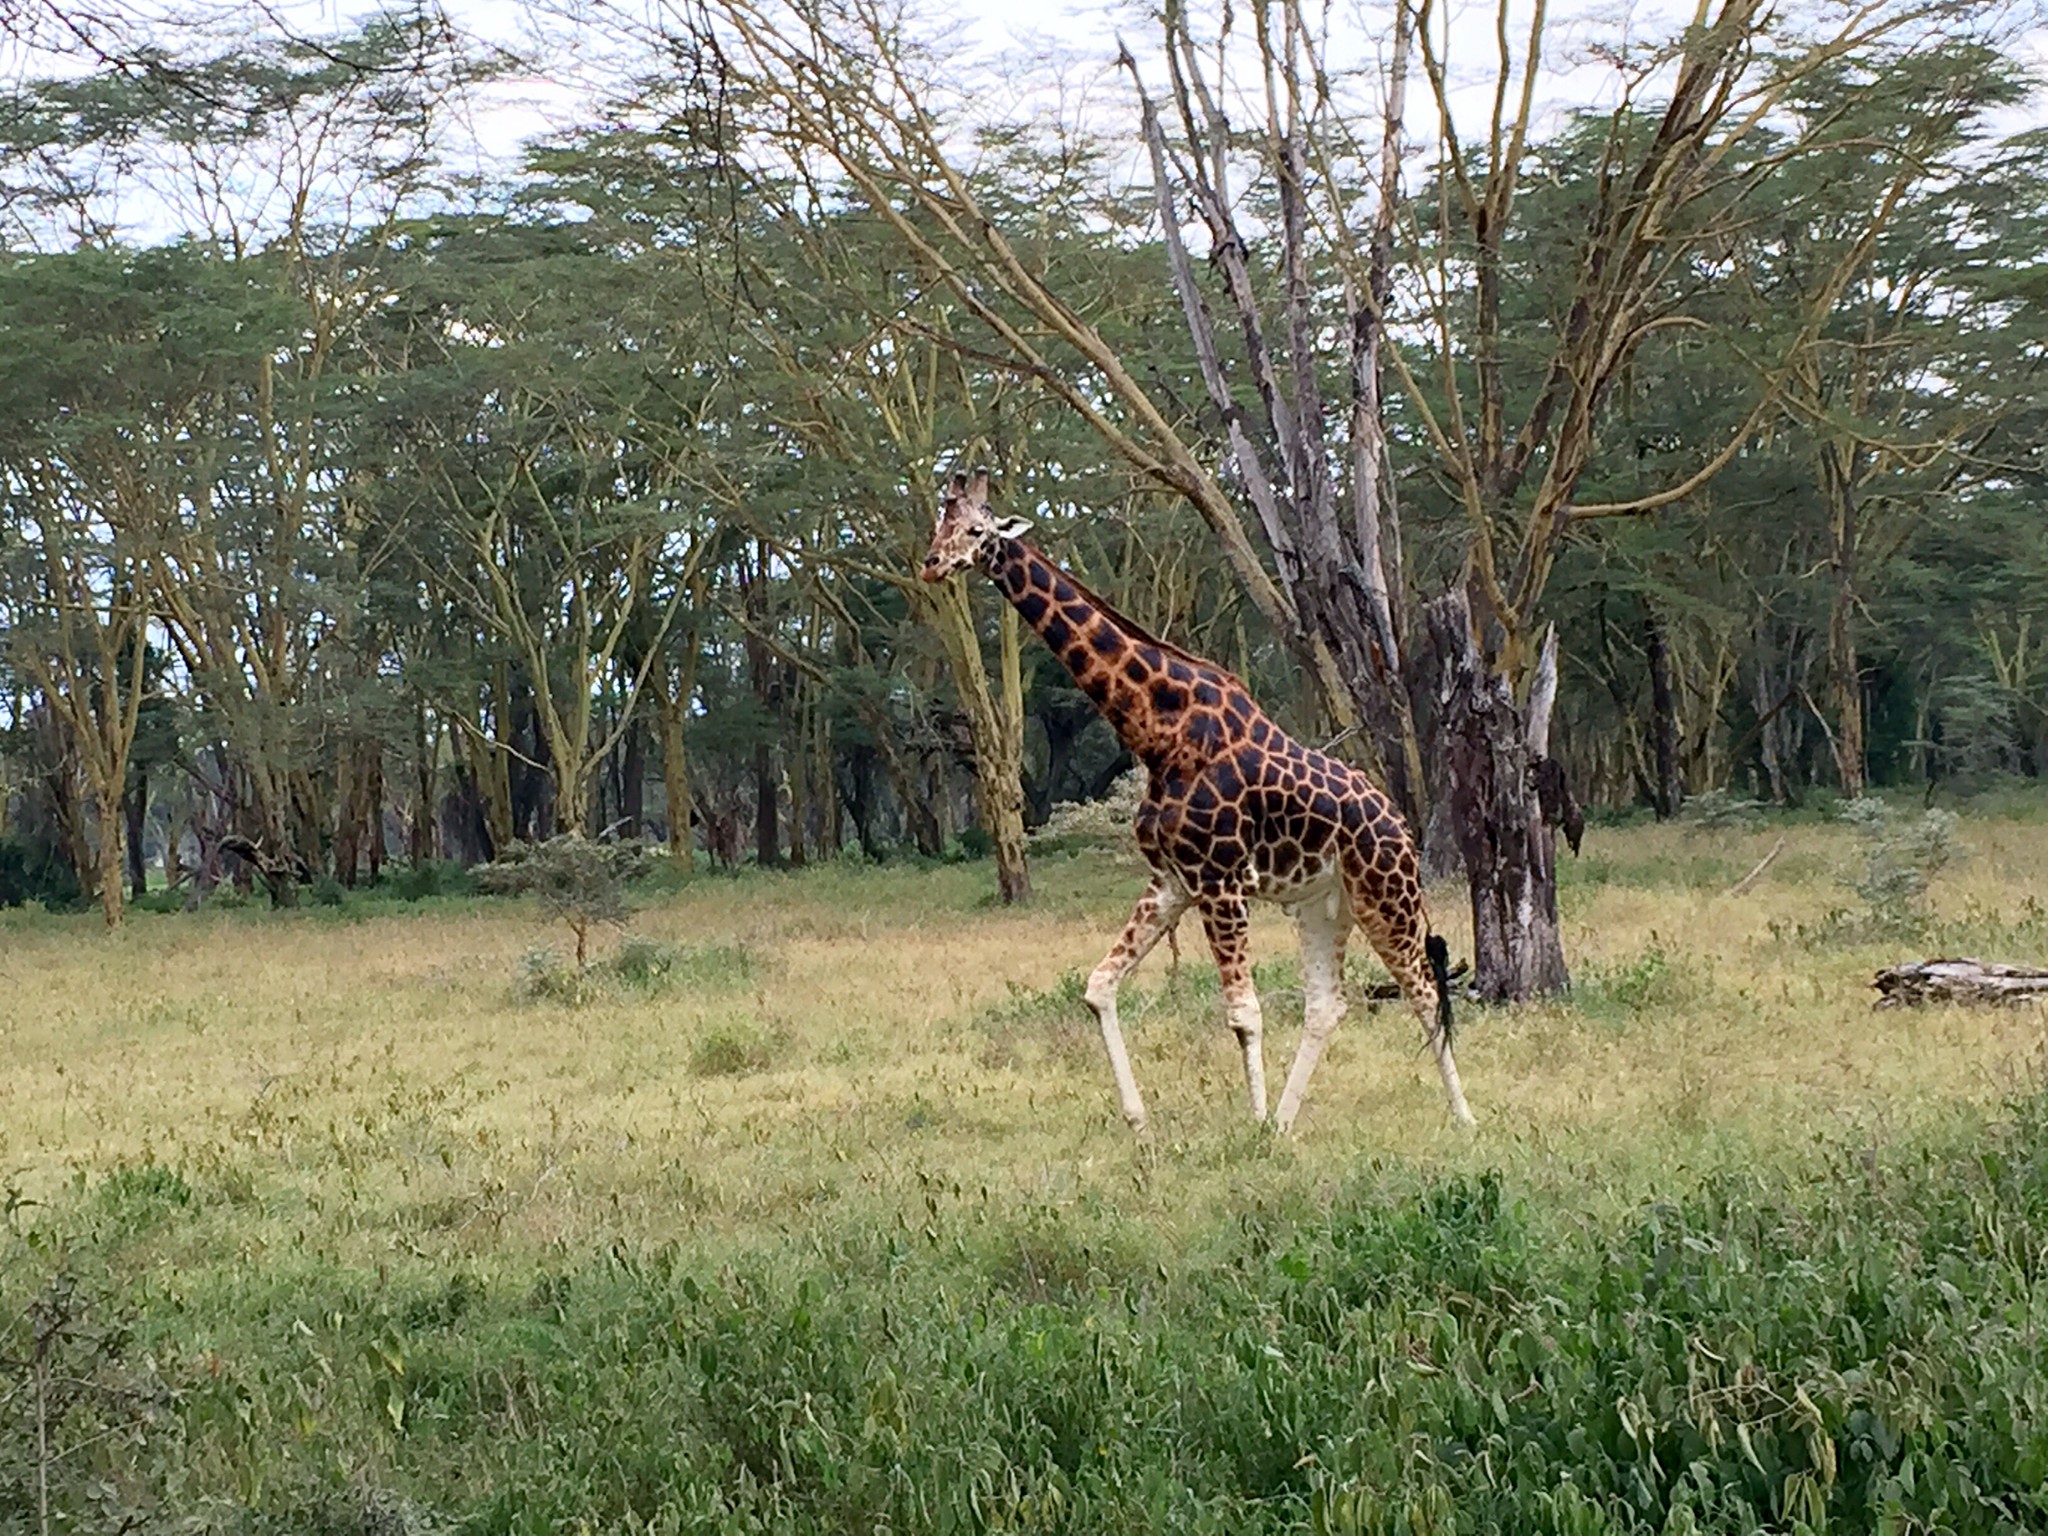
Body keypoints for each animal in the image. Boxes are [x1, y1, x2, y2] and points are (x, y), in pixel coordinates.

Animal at [917, 475, 1474, 1138]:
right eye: (938, 524)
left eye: (977, 529)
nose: (931, 564)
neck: (1159, 732)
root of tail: (1399, 824)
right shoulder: (1172, 881)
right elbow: (1099, 987)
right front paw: (1141, 1124)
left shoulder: (1220, 881)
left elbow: (1244, 1013)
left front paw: (1250, 1129)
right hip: (1323, 903)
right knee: (1327, 1004)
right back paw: (1285, 1123)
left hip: (1386, 893)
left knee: (1424, 991)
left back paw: (1464, 1118)